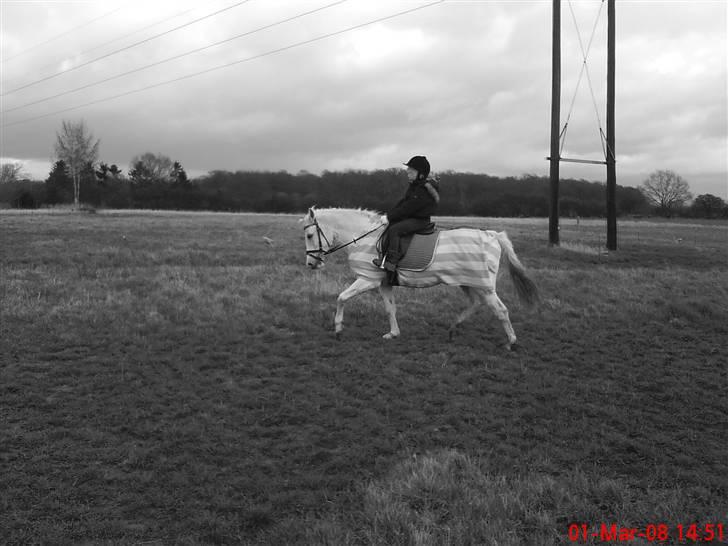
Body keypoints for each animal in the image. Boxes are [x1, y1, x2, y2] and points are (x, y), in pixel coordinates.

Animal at [300, 204, 536, 348]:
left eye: (310, 235)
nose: (311, 264)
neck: (365, 238)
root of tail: (491, 235)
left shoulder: (368, 279)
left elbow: (341, 298)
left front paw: (338, 329)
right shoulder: (384, 283)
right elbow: (390, 308)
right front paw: (393, 334)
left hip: (484, 286)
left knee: (501, 310)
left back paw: (511, 342)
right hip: (468, 283)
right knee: (476, 303)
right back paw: (453, 328)